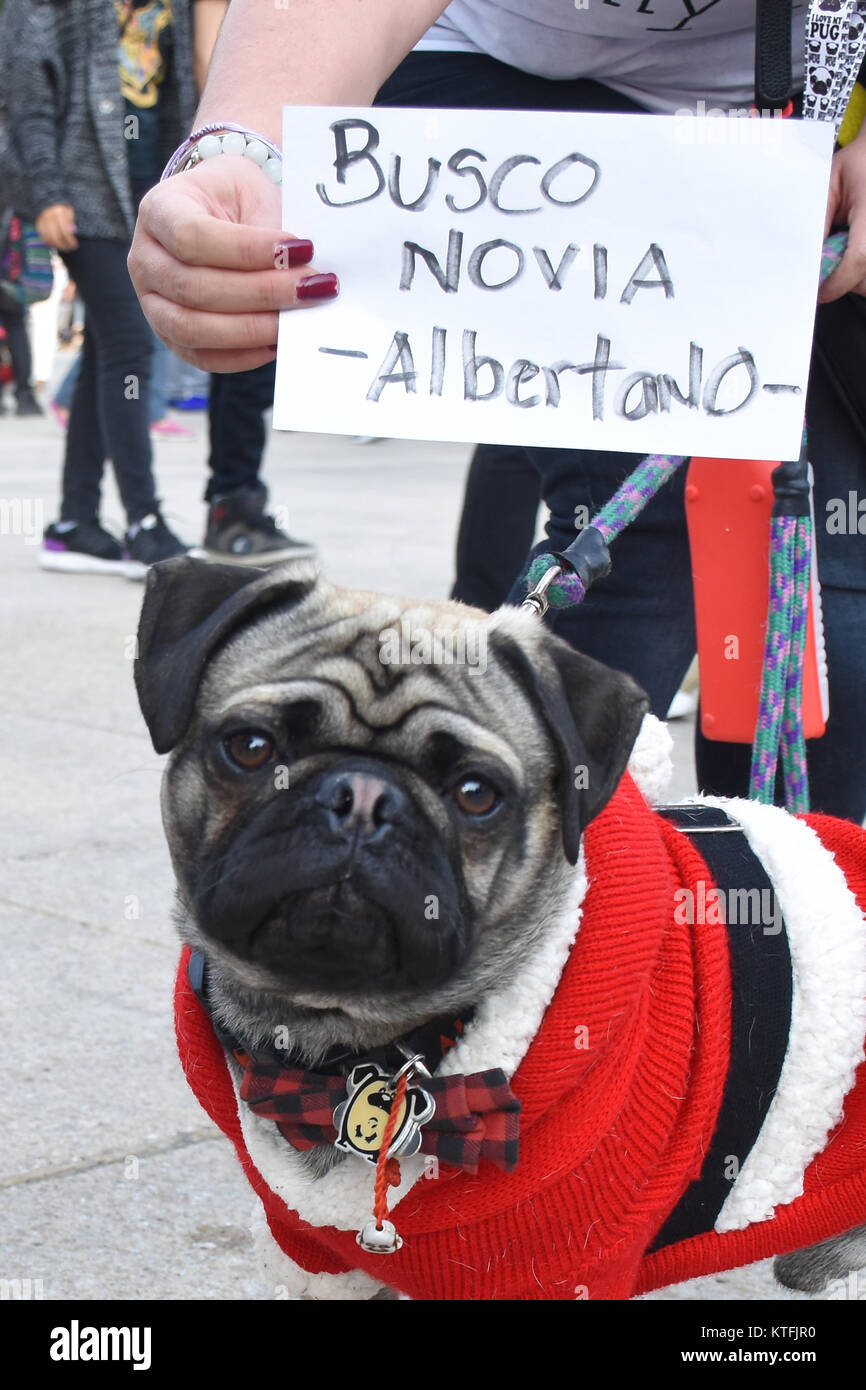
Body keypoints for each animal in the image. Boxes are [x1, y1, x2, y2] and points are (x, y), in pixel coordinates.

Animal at [135, 556, 866, 1301]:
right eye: (250, 748)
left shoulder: (561, 1276)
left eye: (476, 794)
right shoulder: (316, 1260)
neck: (343, 1052)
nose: (362, 796)